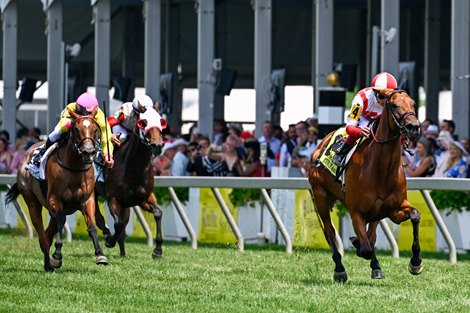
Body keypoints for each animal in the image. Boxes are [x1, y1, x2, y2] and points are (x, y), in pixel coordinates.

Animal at [5, 108, 108, 270]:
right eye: (76, 129)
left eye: (95, 129)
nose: (88, 152)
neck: (74, 168)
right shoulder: (55, 200)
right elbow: (61, 221)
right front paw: (57, 256)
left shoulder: (87, 200)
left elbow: (91, 226)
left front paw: (100, 255)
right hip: (32, 202)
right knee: (42, 235)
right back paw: (48, 264)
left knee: (47, 235)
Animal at [93, 103, 165, 258]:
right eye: (144, 123)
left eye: (161, 121)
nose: (157, 145)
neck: (135, 169)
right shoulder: (113, 198)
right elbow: (118, 224)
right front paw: (110, 241)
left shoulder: (144, 198)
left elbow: (158, 213)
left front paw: (158, 249)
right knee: (98, 215)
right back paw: (107, 234)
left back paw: (122, 252)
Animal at [306, 89, 420, 282]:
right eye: (394, 105)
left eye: (413, 103)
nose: (414, 127)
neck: (381, 170)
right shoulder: (356, 211)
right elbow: (365, 248)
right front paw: (356, 244)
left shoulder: (393, 208)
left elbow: (415, 215)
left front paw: (415, 263)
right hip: (320, 196)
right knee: (329, 231)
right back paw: (340, 269)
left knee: (371, 235)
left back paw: (375, 265)